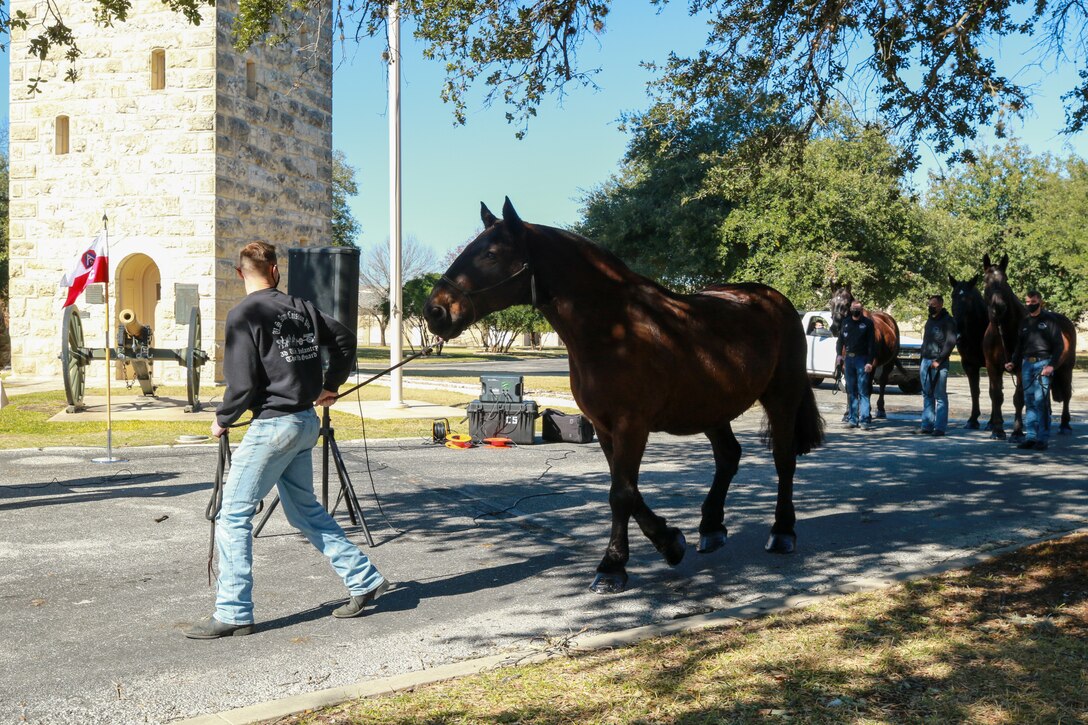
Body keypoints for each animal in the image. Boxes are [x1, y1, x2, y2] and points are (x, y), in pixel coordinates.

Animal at [424, 199, 822, 592]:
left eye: (490, 254)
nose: (435, 311)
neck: (615, 328)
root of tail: (775, 300)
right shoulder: (605, 426)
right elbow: (625, 489)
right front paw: (669, 542)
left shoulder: (632, 424)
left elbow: (622, 494)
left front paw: (613, 566)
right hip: (710, 408)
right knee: (728, 456)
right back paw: (710, 529)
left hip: (781, 399)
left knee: (783, 460)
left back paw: (782, 532)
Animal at [948, 274, 992, 426]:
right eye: (953, 295)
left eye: (969, 298)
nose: (958, 331)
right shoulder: (969, 365)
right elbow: (974, 391)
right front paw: (973, 419)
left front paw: (992, 422)